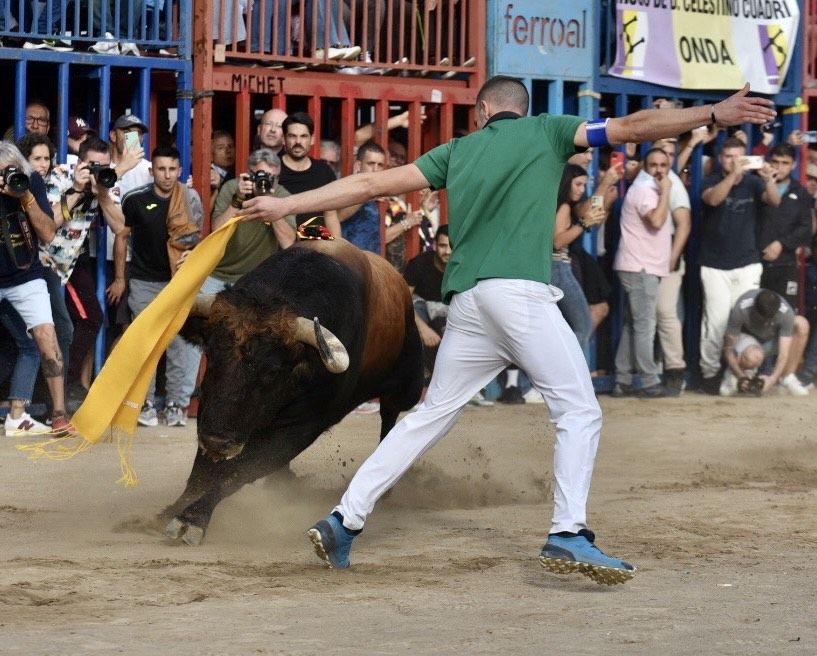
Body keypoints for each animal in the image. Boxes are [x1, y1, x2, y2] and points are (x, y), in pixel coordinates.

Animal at [161, 238, 428, 544]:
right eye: (211, 354)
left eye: (272, 371)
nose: (218, 441)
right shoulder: (210, 410)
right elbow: (202, 469)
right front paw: (174, 509)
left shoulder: (301, 427)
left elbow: (240, 471)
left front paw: (191, 519)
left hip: (408, 386)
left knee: (390, 416)